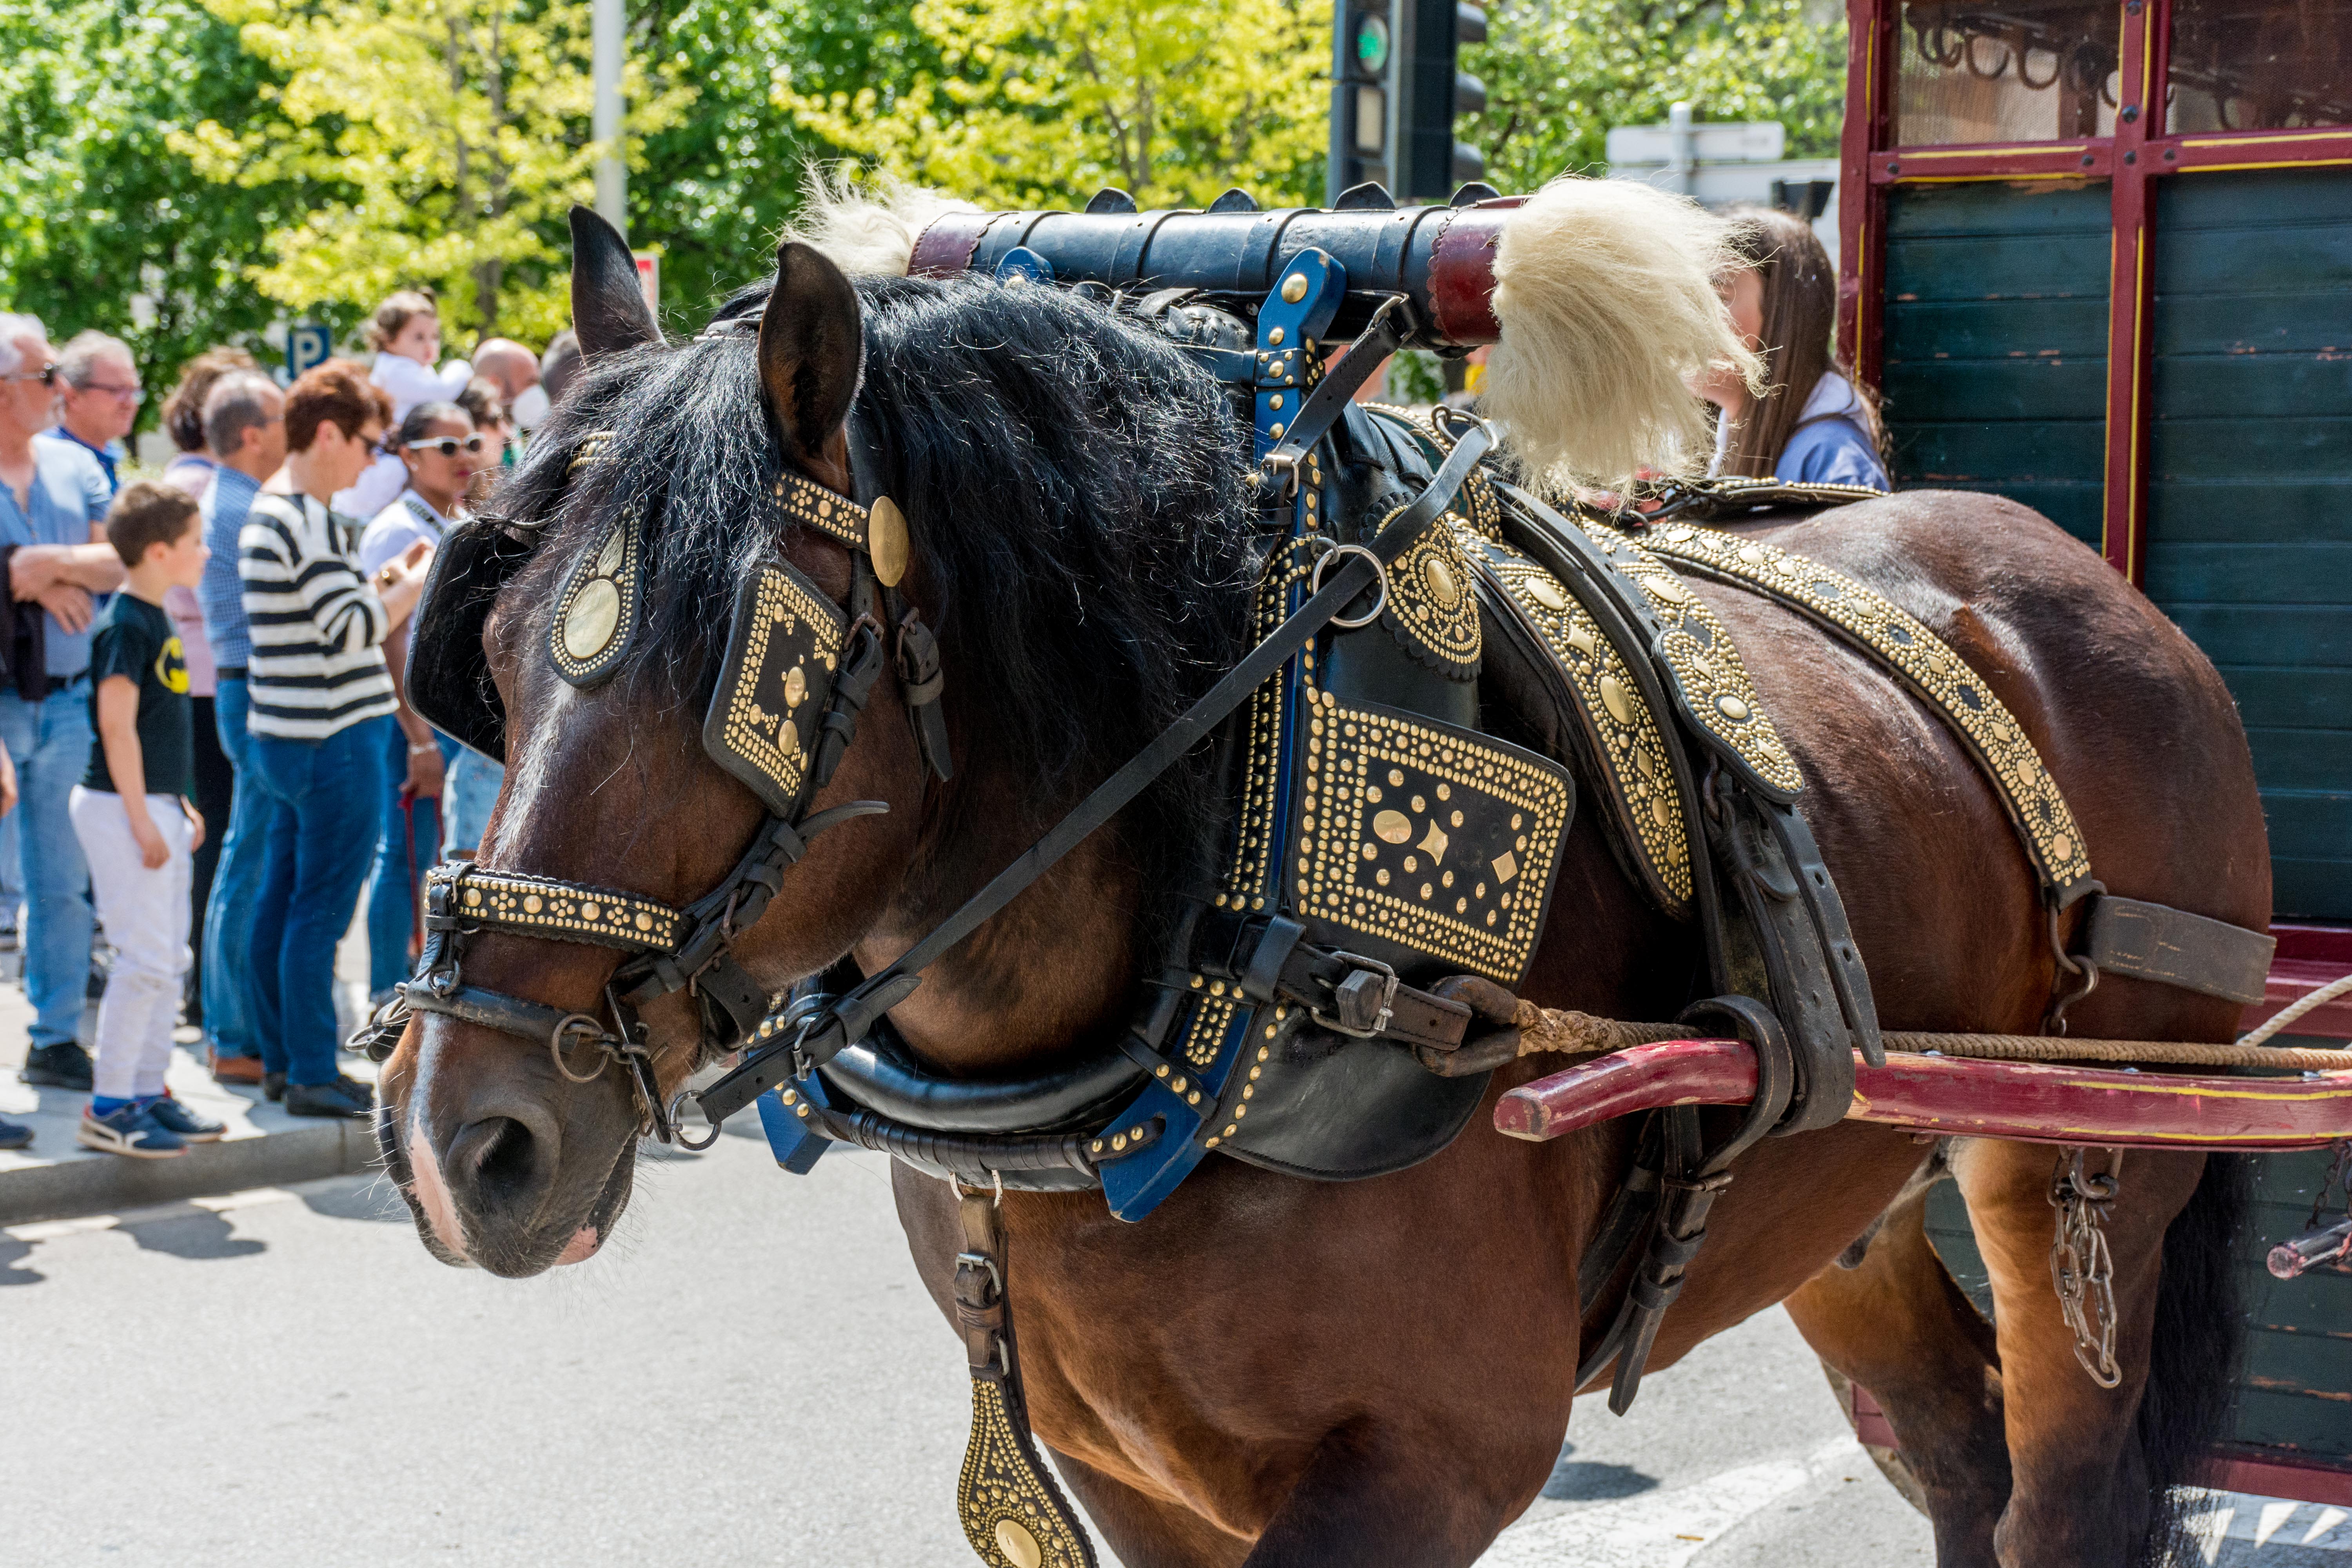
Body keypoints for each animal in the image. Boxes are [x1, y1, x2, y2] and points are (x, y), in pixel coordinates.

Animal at [376, 232, 2267, 1568]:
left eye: (741, 677)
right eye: (489, 655)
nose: (464, 1139)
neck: (1237, 894)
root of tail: (2075, 578)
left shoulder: (1436, 1451)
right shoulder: (1127, 1467)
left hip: (2088, 1166)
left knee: (2059, 1488)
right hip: (1848, 1184)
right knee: (1951, 1450)